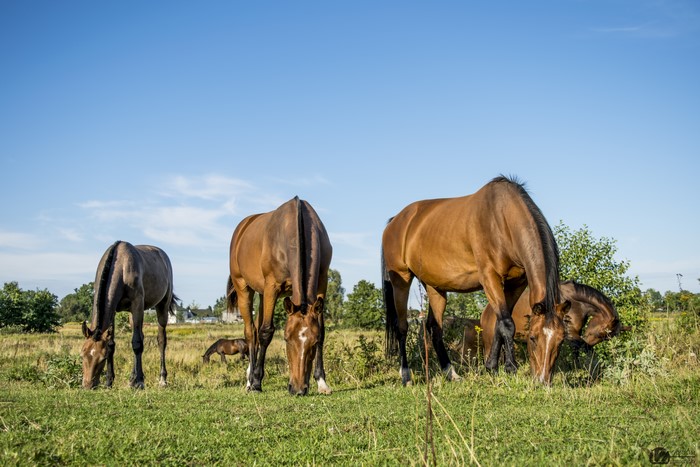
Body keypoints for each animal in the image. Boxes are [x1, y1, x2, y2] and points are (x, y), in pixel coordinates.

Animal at [81, 241, 177, 389]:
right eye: (82, 354)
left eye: (102, 358)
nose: (87, 385)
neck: (121, 266)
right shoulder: (113, 310)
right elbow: (112, 344)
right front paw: (109, 381)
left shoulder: (137, 303)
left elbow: (137, 343)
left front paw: (139, 382)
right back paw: (132, 378)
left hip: (162, 306)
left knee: (161, 340)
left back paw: (161, 379)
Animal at [228, 196, 333, 395]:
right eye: (286, 339)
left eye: (313, 343)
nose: (298, 389)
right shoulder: (272, 286)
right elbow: (266, 332)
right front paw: (256, 382)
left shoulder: (322, 282)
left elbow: (322, 331)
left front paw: (322, 382)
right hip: (244, 288)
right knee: (251, 332)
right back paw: (249, 380)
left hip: (262, 294)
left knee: (256, 328)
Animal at [382, 176, 566, 385]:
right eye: (533, 338)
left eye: (561, 340)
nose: (543, 380)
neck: (502, 220)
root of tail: (395, 221)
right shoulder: (490, 278)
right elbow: (507, 323)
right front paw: (510, 367)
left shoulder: (516, 285)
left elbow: (499, 324)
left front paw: (492, 366)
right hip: (401, 281)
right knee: (402, 327)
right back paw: (406, 376)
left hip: (435, 287)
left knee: (435, 328)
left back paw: (451, 373)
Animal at [480, 280, 628, 361]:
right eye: (601, 334)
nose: (589, 343)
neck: (574, 302)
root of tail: (486, 311)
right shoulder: (571, 335)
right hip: (489, 341)